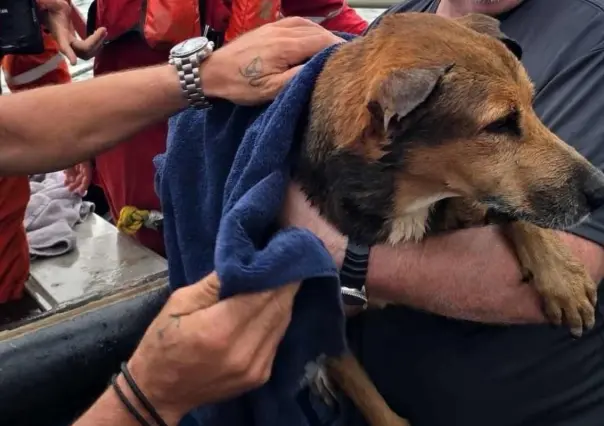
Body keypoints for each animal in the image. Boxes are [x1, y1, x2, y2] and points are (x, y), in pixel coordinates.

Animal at [294, 11, 604, 426]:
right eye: (500, 123)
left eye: (531, 104)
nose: (601, 189)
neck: (410, 198)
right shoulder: (329, 324)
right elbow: (369, 398)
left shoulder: (470, 198)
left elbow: (512, 210)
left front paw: (561, 274)